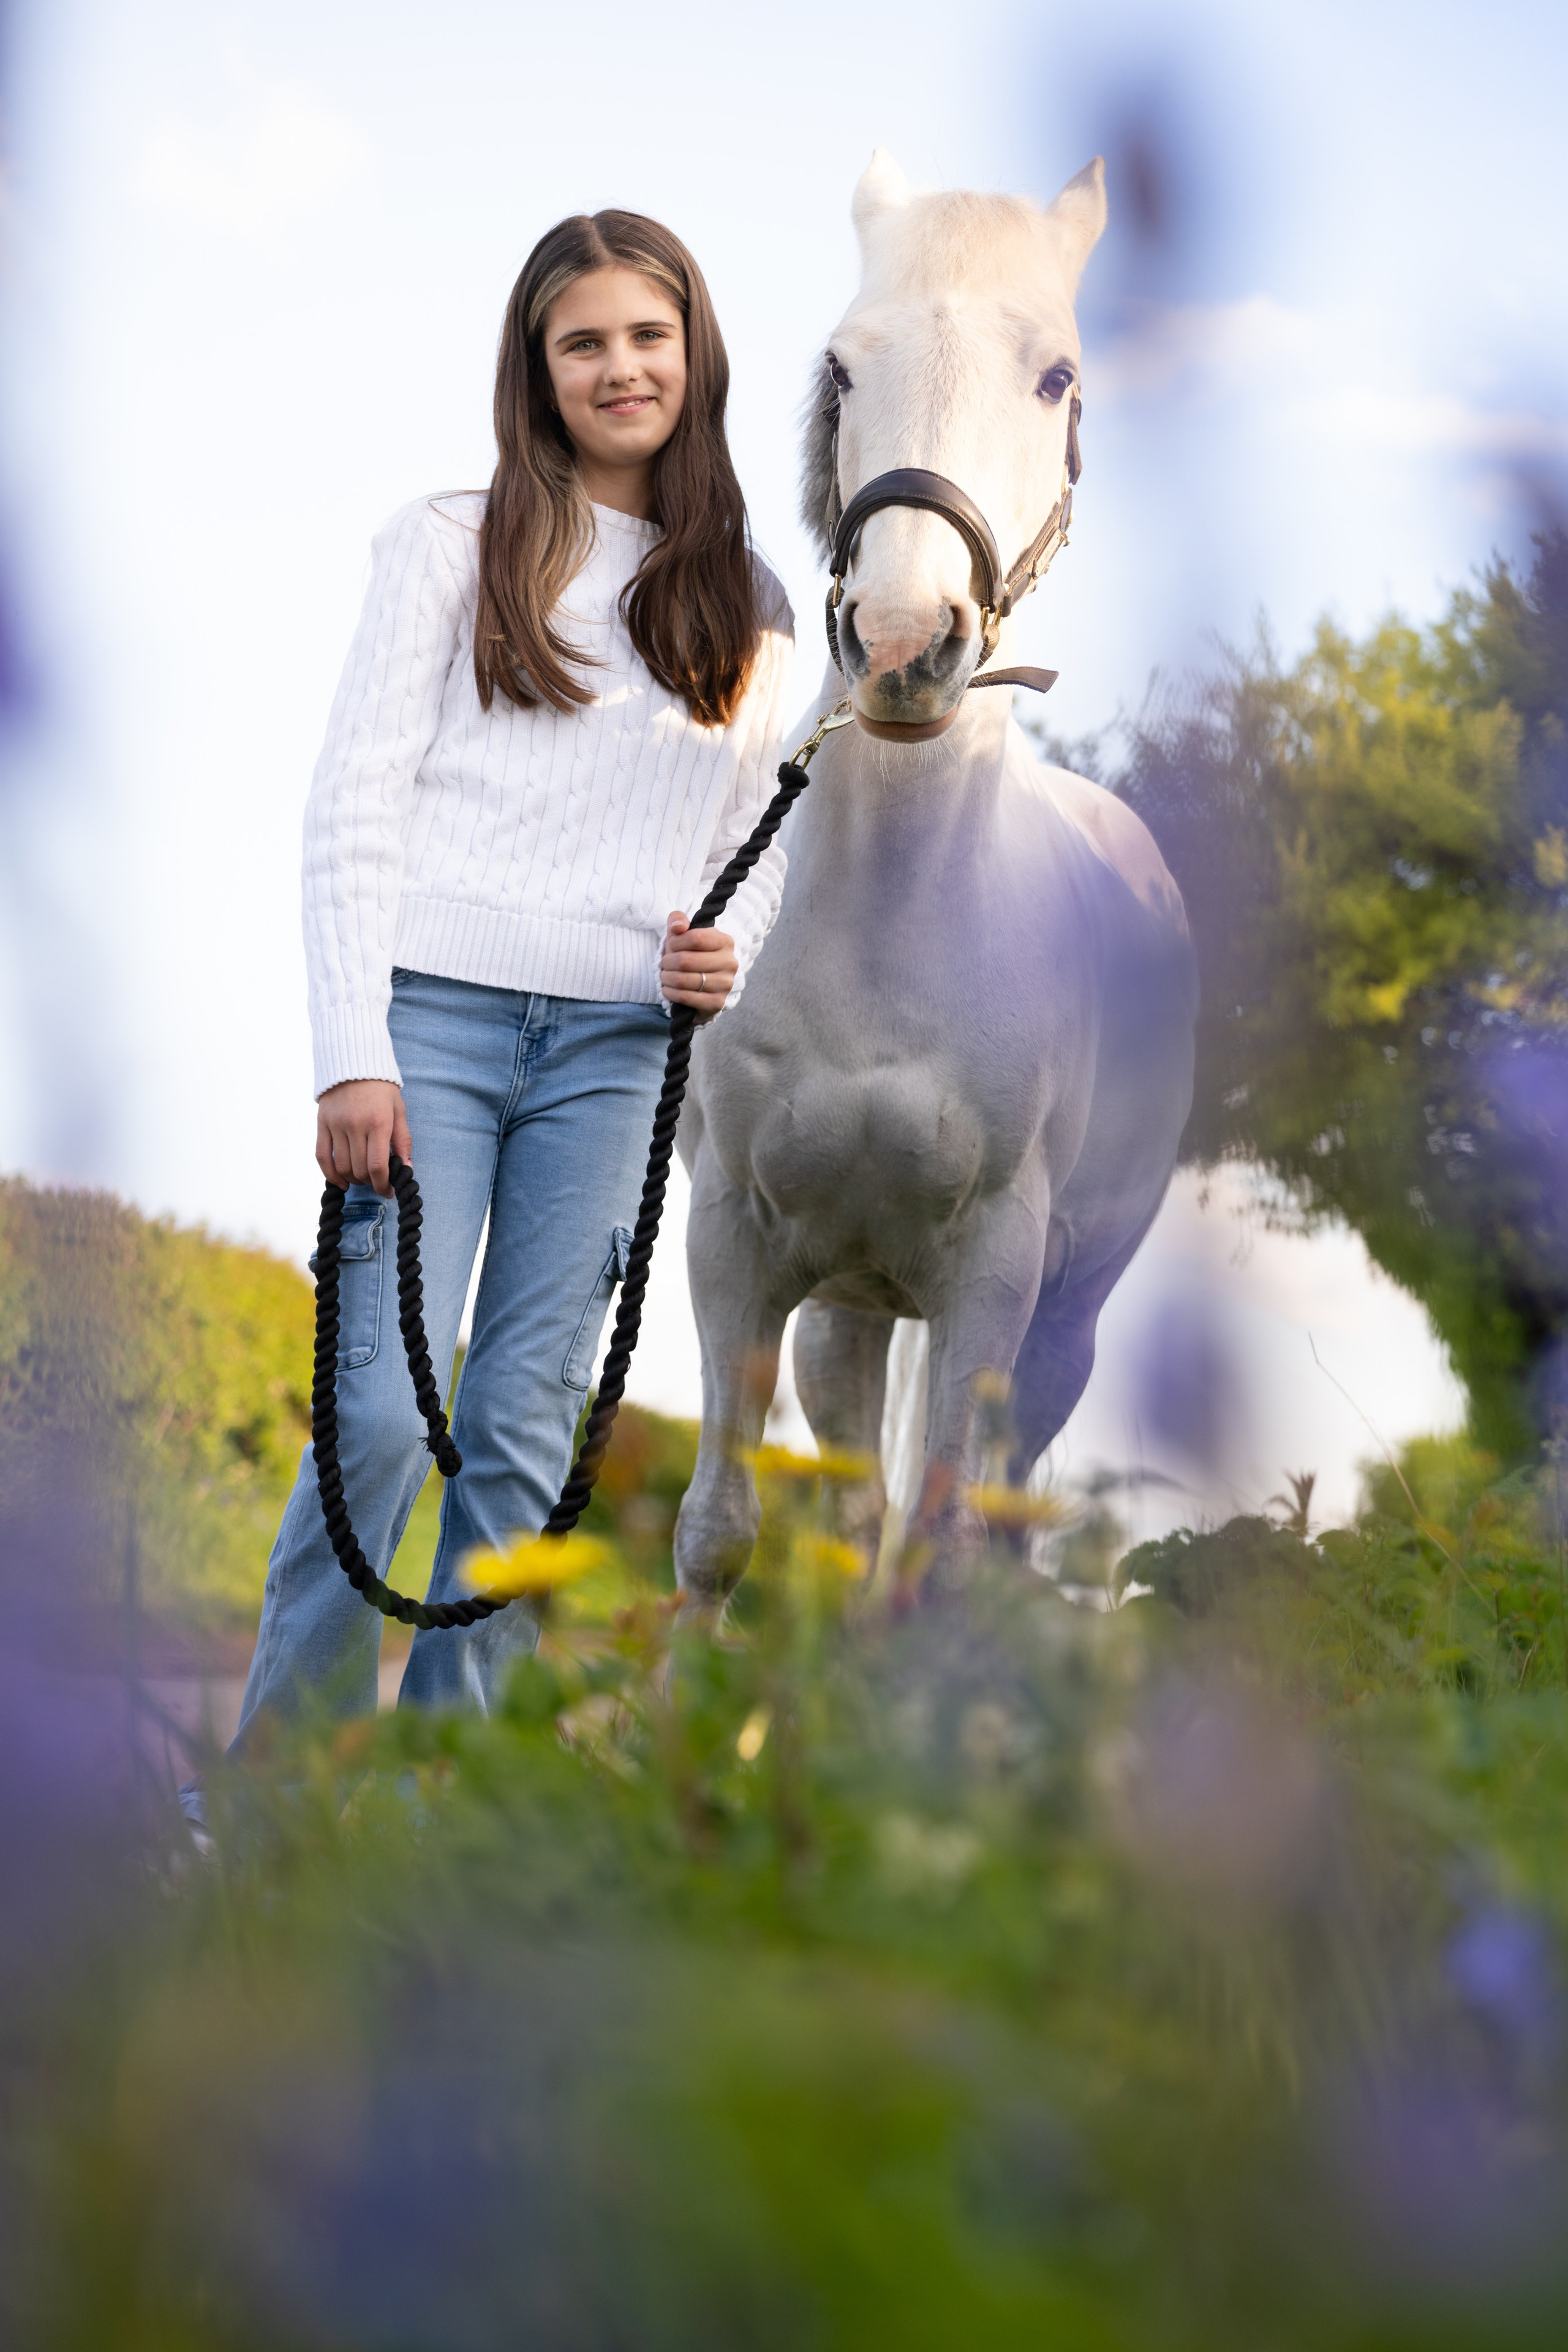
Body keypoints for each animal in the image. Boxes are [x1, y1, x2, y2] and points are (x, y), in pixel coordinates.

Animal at [671, 151, 1197, 1606]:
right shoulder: (735, 1241)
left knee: (990, 1532)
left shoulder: (992, 1279)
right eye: (843, 368)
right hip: (846, 1313)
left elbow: (943, 1565)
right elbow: (720, 1532)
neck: (891, 924)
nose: (905, 642)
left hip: (1060, 1332)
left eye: (1057, 378)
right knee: (853, 1517)